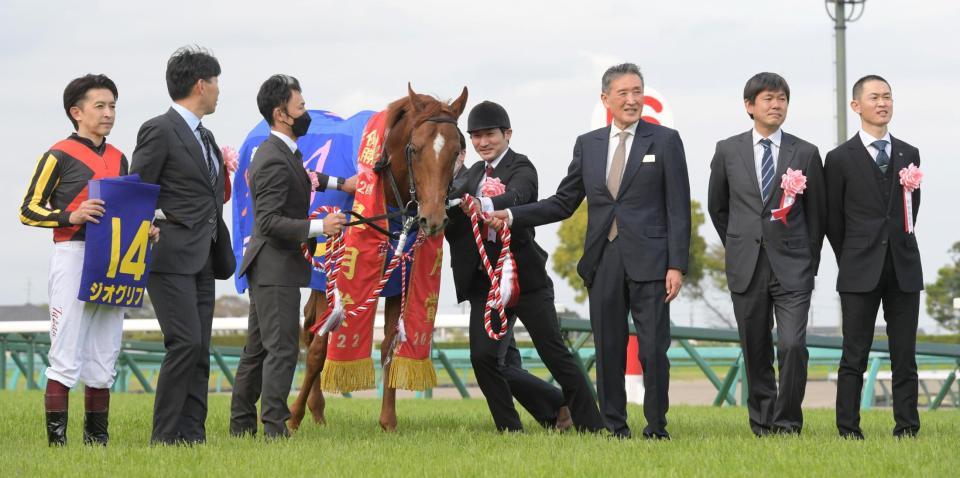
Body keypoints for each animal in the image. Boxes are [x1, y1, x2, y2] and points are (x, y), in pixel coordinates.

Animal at [286, 84, 466, 432]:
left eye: (456, 152)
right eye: (415, 149)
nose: (433, 219)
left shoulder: (397, 279)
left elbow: (389, 345)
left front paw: (388, 421)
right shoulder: (334, 276)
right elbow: (319, 349)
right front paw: (293, 416)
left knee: (309, 327)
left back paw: (318, 409)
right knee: (306, 333)